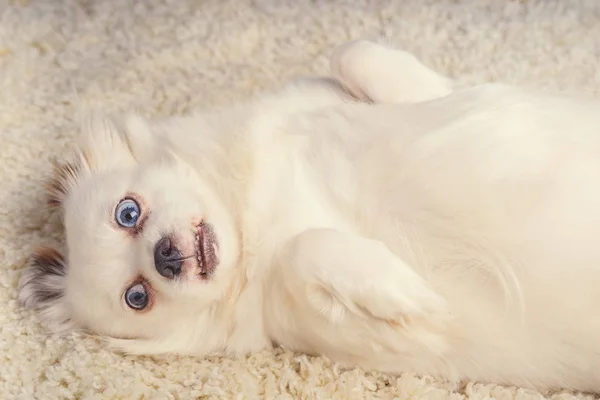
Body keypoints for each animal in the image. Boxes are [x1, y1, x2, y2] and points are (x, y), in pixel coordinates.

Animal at [16, 41, 600, 394]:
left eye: (128, 212)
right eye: (137, 297)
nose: (168, 257)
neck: (249, 219)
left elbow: (358, 53)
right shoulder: (374, 338)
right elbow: (309, 250)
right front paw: (400, 288)